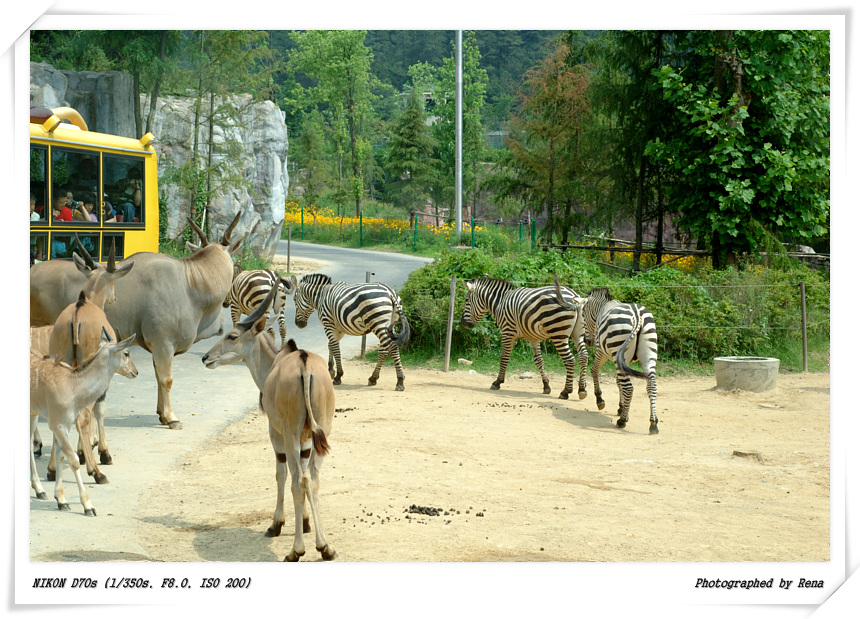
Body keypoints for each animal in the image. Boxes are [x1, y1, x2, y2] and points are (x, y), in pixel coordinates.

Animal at [30, 322, 136, 516]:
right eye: (126, 352)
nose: (135, 371)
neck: (72, 385)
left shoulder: (65, 423)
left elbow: (61, 456)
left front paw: (61, 500)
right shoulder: (57, 423)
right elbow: (73, 459)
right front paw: (88, 505)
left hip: (32, 413)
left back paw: (40, 490)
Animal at [202, 280, 336, 560]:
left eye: (232, 336)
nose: (206, 357)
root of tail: (305, 366)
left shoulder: (276, 435)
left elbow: (280, 474)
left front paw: (276, 524)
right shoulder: (306, 442)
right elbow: (306, 478)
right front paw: (305, 523)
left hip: (290, 434)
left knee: (298, 480)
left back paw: (296, 550)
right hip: (322, 434)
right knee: (312, 479)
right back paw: (326, 547)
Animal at [460, 274, 588, 400]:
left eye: (466, 300)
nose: (463, 323)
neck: (500, 302)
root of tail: (574, 296)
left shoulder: (507, 332)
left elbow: (504, 357)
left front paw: (497, 382)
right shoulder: (533, 337)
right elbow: (539, 360)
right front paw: (546, 385)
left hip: (558, 333)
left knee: (570, 360)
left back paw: (566, 391)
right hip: (578, 334)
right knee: (583, 356)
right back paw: (582, 389)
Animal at [576, 286, 660, 436]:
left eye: (584, 315)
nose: (587, 341)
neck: (602, 308)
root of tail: (637, 316)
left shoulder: (602, 351)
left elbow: (595, 370)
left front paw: (600, 400)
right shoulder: (622, 361)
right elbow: (618, 382)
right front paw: (621, 407)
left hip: (618, 349)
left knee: (629, 388)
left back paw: (622, 421)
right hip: (648, 353)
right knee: (652, 386)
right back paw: (653, 423)